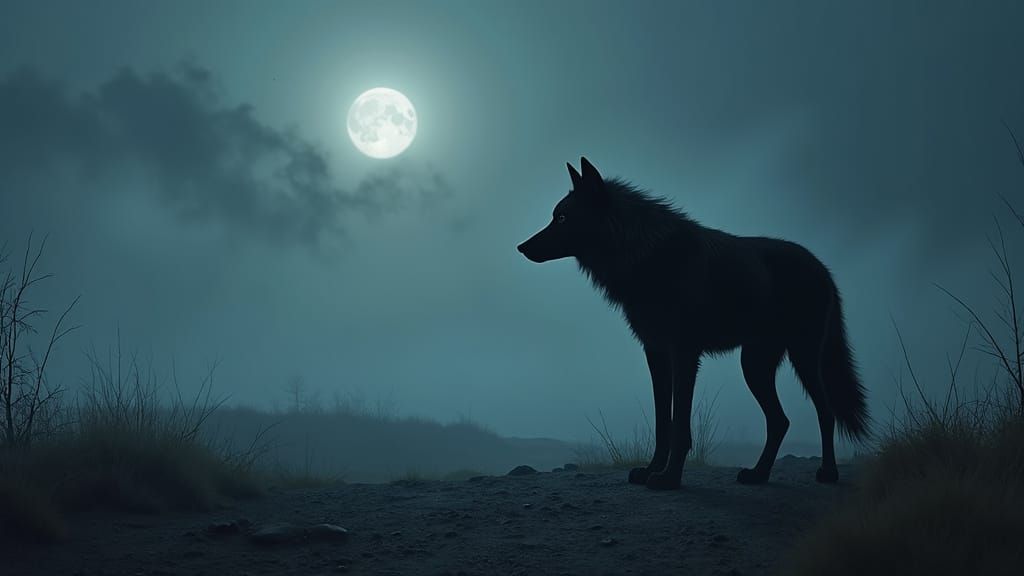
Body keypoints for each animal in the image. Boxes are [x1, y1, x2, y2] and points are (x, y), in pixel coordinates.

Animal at [517, 157, 869, 490]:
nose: (521, 247)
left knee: (825, 412)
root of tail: (823, 267)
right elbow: (663, 423)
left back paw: (828, 472)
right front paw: (651, 470)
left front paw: (669, 479)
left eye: (562, 217)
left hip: (801, 358)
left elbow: (680, 426)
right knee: (780, 421)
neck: (644, 256)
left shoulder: (684, 354)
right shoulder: (656, 353)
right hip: (754, 365)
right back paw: (758, 474)